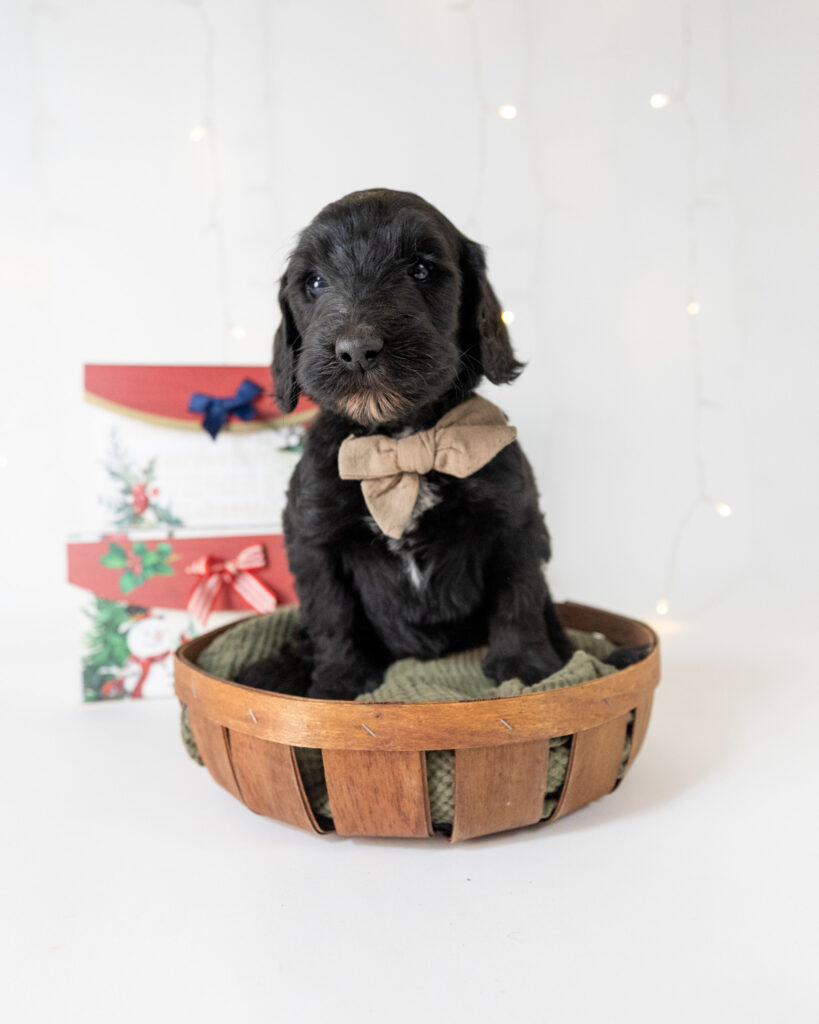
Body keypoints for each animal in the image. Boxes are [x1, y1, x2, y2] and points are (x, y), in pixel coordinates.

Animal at [238, 187, 578, 700]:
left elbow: (518, 595)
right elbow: (332, 613)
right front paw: (339, 682)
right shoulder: (313, 537)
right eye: (314, 282)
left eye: (420, 269)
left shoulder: (514, 520)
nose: (357, 348)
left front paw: (526, 667)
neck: (403, 439)